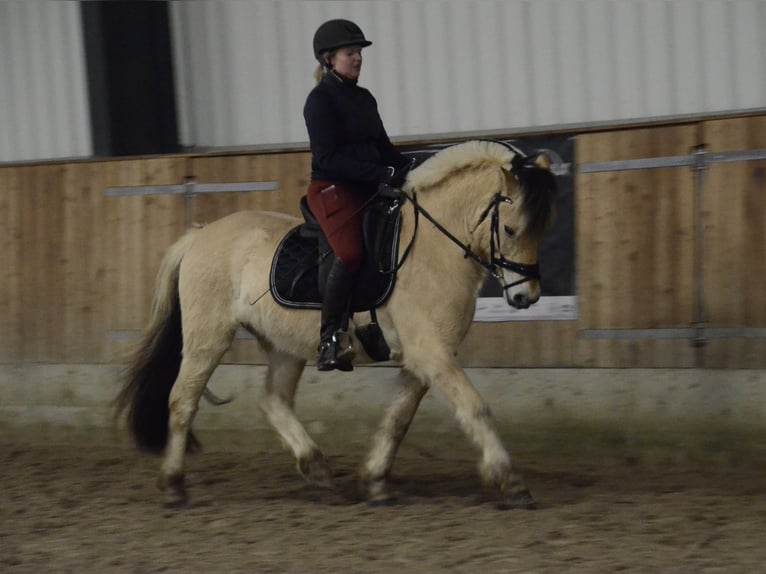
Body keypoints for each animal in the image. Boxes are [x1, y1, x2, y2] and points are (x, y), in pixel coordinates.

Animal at [115, 140, 557, 509]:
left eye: (542, 228)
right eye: (510, 228)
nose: (526, 297)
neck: (433, 249)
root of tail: (200, 235)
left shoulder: (427, 355)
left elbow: (398, 419)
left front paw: (375, 482)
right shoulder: (431, 352)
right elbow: (475, 408)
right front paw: (512, 483)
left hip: (285, 344)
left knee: (273, 400)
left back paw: (316, 468)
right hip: (208, 336)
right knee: (183, 401)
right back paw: (173, 485)